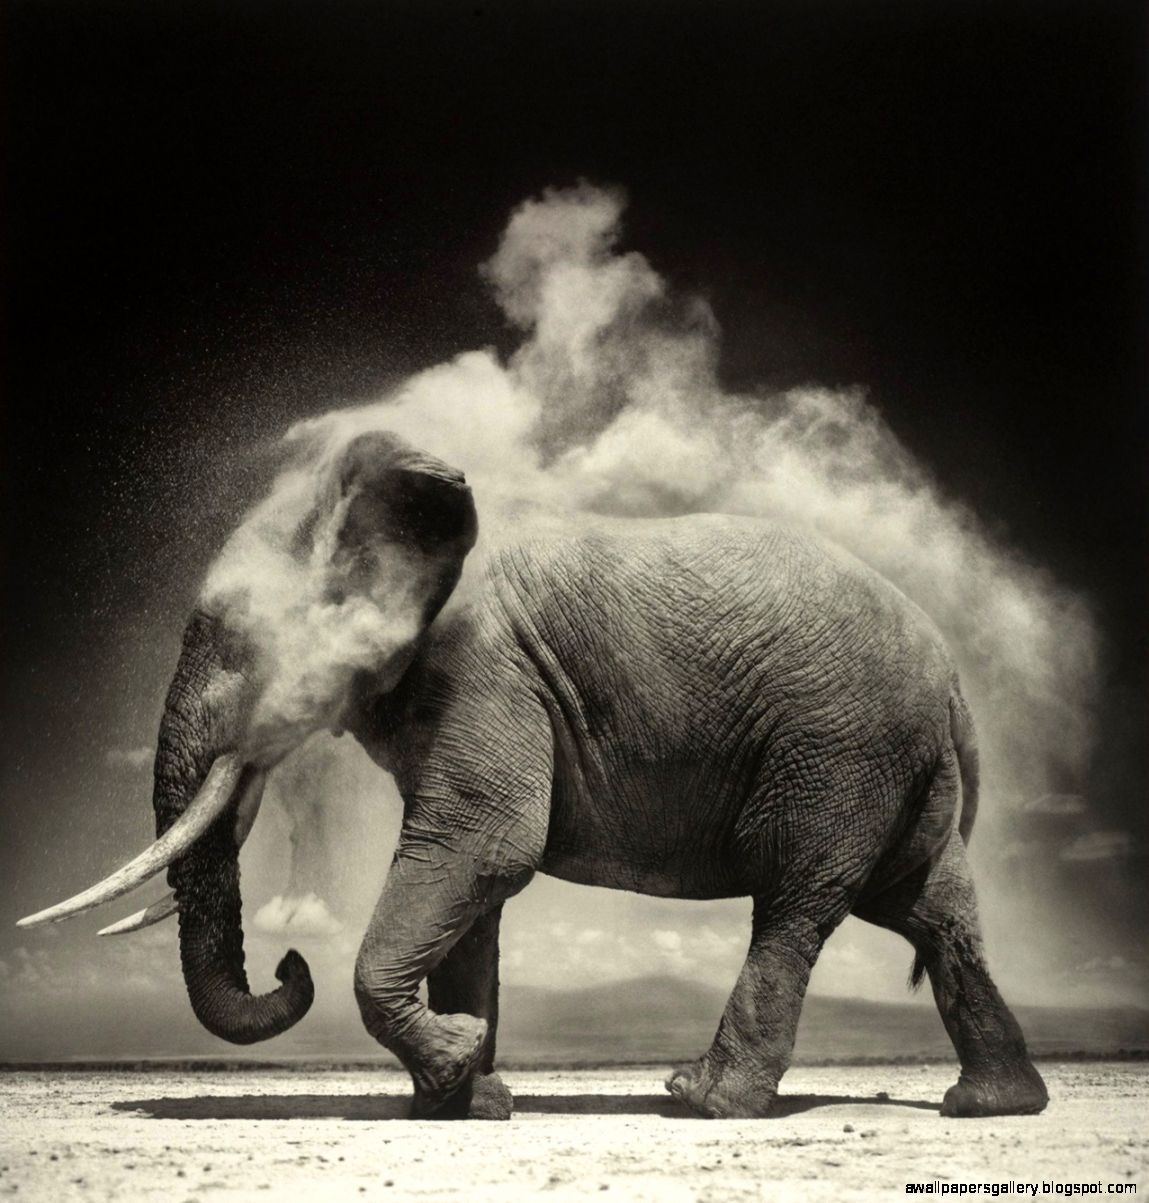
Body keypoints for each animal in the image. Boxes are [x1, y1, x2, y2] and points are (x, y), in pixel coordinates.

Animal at [19, 429, 1049, 1121]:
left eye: (233, 638)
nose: (287, 961)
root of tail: (952, 677)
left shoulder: (485, 668)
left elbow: (483, 845)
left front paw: (457, 1065)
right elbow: (471, 884)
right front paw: (464, 1100)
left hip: (838, 748)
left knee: (798, 904)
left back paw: (698, 1098)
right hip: (892, 762)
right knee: (931, 911)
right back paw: (989, 1104)